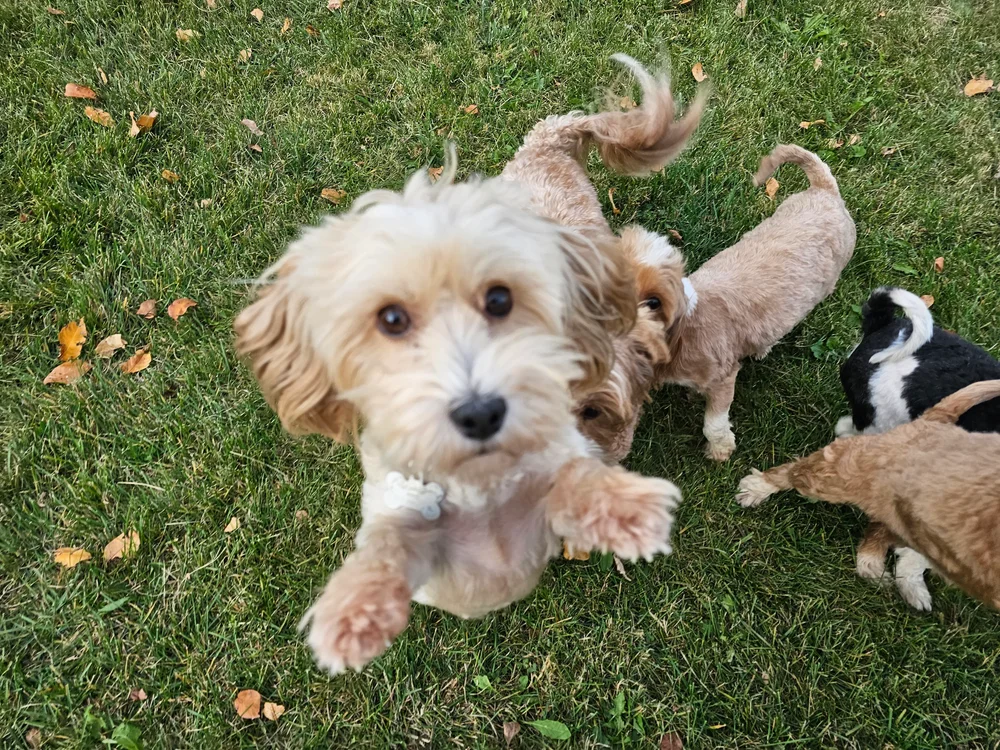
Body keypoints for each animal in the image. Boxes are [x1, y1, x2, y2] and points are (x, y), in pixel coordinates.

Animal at [234, 57, 700, 675]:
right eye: (392, 320)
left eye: (594, 410)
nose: (481, 413)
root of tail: (552, 139)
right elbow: (390, 547)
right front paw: (353, 610)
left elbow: (573, 485)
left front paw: (620, 511)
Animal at [577, 145, 856, 461]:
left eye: (654, 302)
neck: (684, 328)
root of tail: (824, 189)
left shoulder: (722, 378)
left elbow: (714, 423)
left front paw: (720, 448)